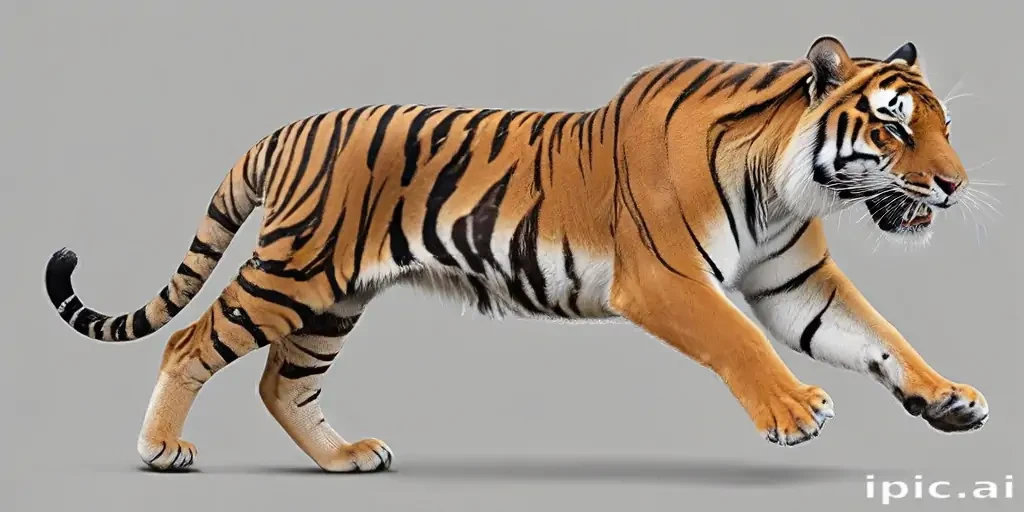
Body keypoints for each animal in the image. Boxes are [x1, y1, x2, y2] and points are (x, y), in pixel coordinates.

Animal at [45, 35, 989, 473]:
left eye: (945, 123)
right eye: (894, 125)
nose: (954, 184)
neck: (785, 182)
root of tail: (284, 131)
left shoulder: (795, 281)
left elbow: (880, 337)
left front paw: (948, 399)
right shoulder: (664, 280)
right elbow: (740, 341)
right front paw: (794, 412)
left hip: (334, 299)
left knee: (283, 381)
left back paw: (346, 459)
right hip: (292, 271)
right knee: (189, 341)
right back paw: (160, 450)